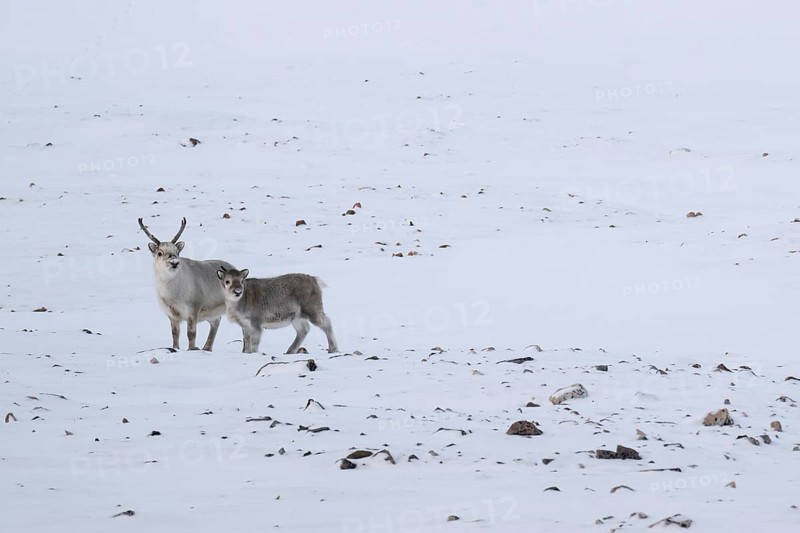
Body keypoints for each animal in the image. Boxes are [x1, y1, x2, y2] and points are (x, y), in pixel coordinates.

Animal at [138, 217, 236, 352]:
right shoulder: (171, 314)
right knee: (216, 322)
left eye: (177, 251)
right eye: (159, 253)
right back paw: (207, 348)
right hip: (212, 312)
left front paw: (192, 349)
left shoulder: (193, 309)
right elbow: (175, 333)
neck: (172, 294)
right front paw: (176, 348)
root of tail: (233, 267)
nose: (174, 262)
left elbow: (191, 334)